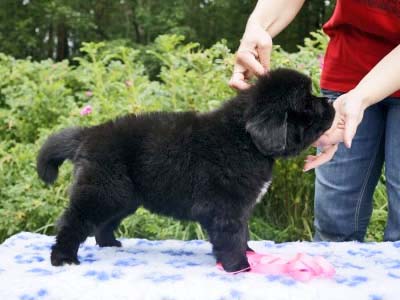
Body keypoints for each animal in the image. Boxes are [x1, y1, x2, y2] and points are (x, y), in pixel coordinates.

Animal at [36, 68, 334, 272]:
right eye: (306, 104)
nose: (331, 103)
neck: (244, 139)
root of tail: (87, 134)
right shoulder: (227, 207)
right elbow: (232, 236)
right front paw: (239, 266)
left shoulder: (239, 207)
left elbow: (243, 233)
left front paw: (248, 253)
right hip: (102, 191)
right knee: (73, 221)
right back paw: (63, 258)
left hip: (123, 197)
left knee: (103, 223)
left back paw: (109, 243)